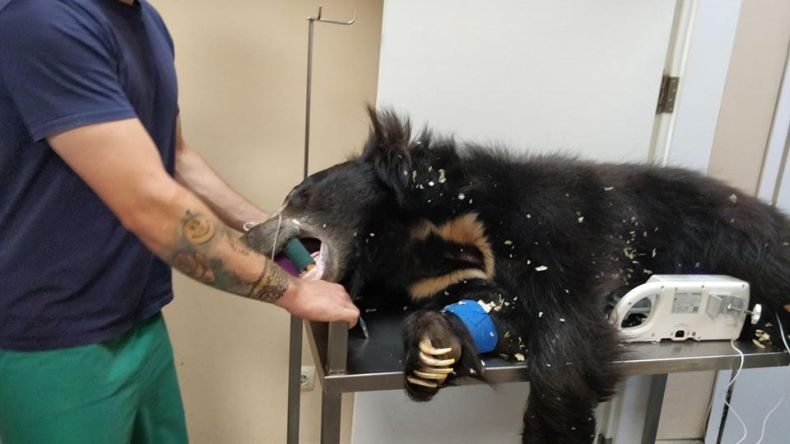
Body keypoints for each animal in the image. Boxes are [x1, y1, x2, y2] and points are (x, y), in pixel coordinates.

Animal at [243, 108, 790, 444]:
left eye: (298, 195)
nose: (247, 238)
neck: (417, 235)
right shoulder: (442, 277)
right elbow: (495, 311)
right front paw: (432, 351)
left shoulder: (545, 223)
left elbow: (567, 332)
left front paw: (556, 431)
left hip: (743, 243)